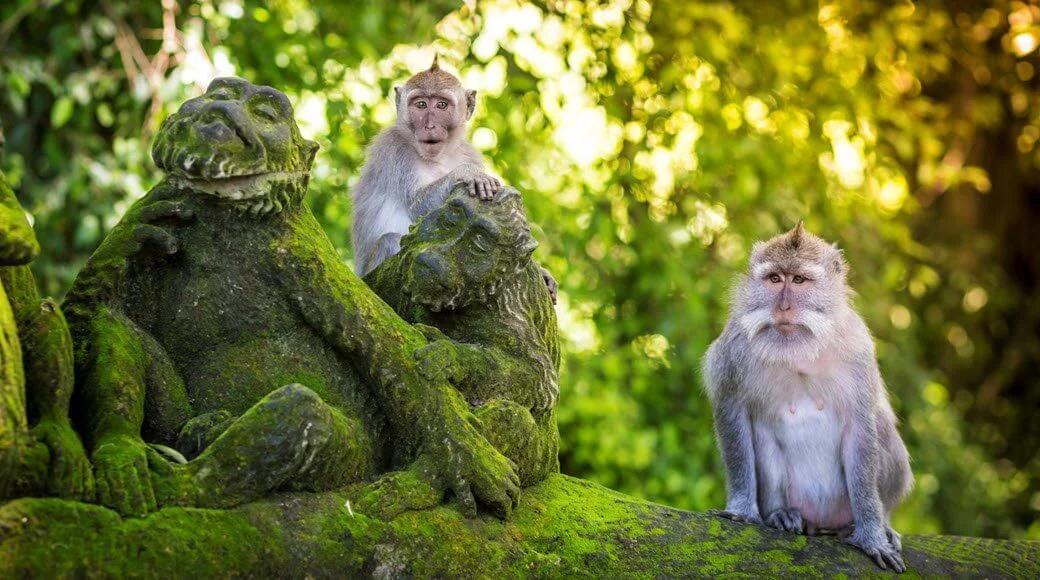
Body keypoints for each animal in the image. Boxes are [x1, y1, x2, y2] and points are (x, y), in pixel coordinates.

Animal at [702, 222, 913, 573]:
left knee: (882, 428)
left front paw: (871, 536)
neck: (798, 350)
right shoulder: (734, 350)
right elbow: (733, 414)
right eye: (775, 279)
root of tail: (822, 522)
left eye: (799, 280)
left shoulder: (858, 348)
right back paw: (781, 514)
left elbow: (861, 428)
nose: (783, 307)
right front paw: (743, 509)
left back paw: (877, 524)